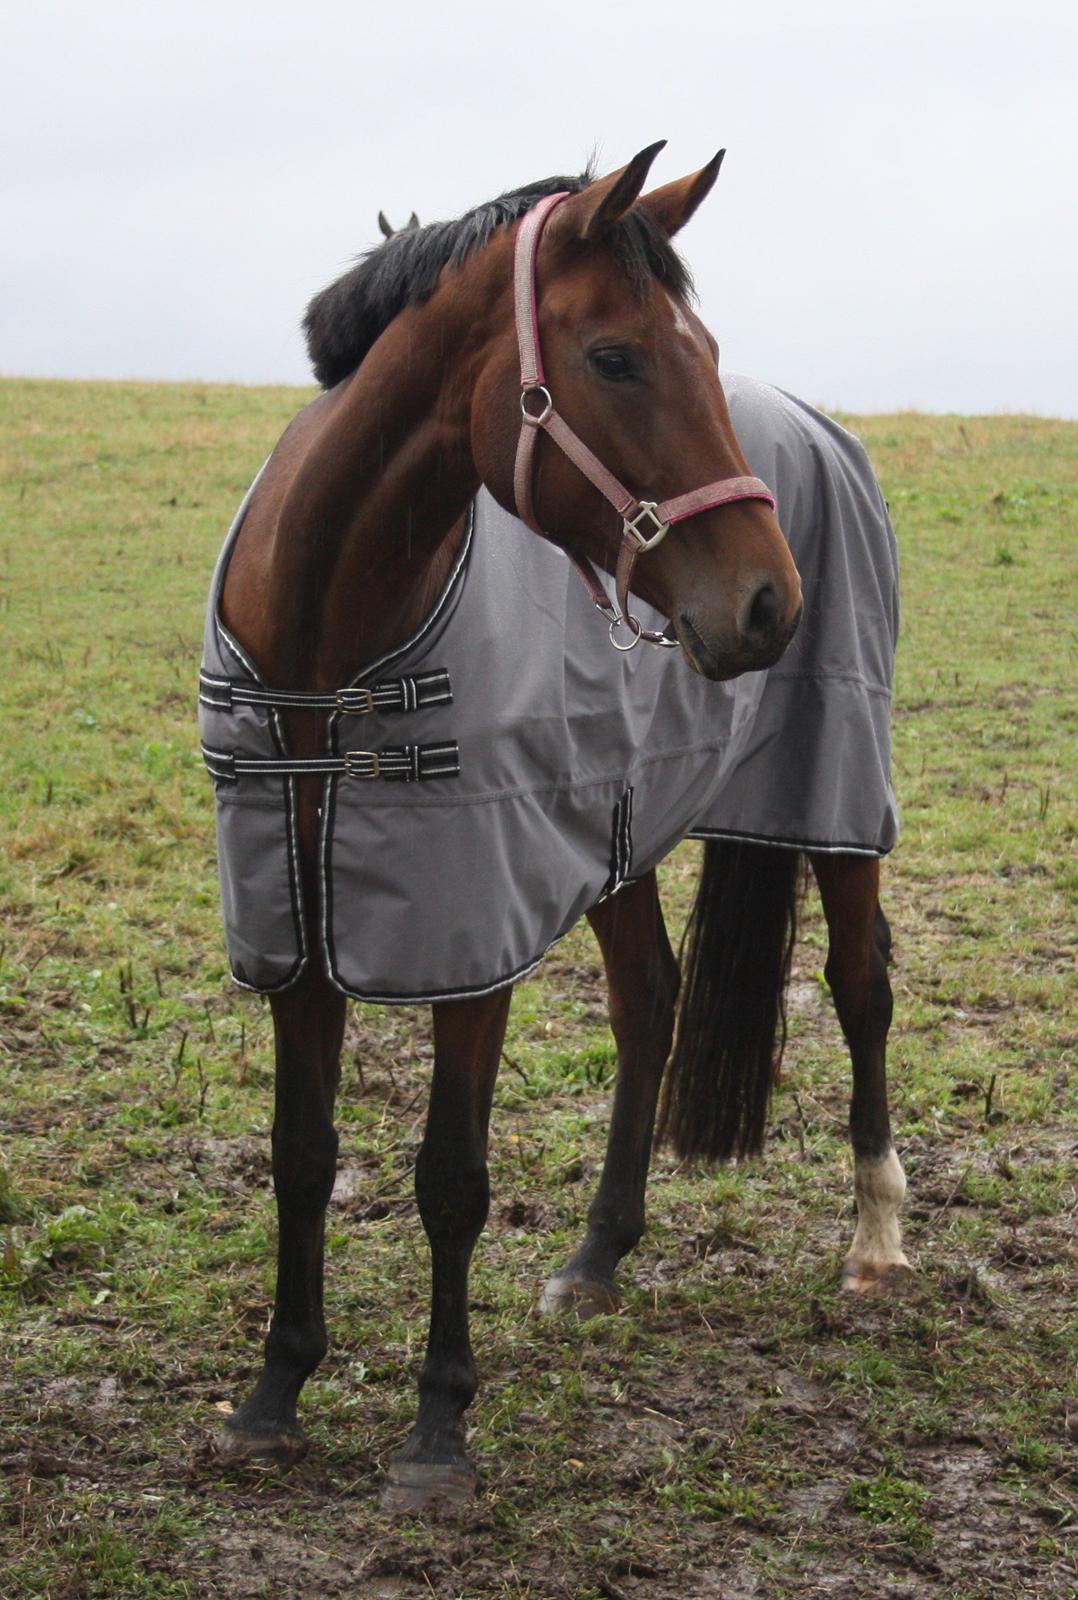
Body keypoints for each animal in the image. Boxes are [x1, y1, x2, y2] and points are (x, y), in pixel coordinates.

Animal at [203, 140, 895, 1510]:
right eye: (615, 357)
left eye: (700, 347)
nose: (768, 603)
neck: (326, 650)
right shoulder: (296, 930)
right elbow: (301, 1149)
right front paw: (274, 1390)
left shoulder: (473, 938)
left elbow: (450, 1178)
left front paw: (436, 1427)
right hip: (615, 830)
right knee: (650, 999)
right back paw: (598, 1254)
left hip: (837, 793)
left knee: (861, 986)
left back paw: (877, 1237)